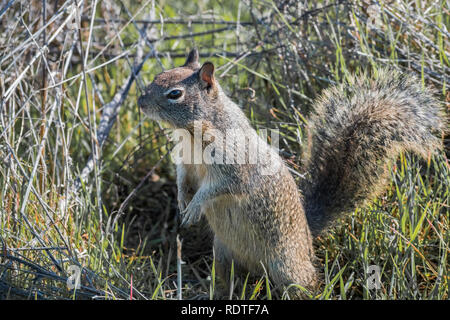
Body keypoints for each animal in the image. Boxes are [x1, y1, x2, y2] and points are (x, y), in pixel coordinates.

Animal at [137, 48, 442, 298]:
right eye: (158, 76)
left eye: (175, 94)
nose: (140, 102)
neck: (192, 133)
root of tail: (308, 236)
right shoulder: (186, 163)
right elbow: (183, 180)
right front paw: (182, 201)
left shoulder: (235, 164)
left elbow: (221, 186)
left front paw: (195, 205)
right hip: (222, 255)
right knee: (230, 281)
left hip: (286, 265)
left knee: (305, 285)